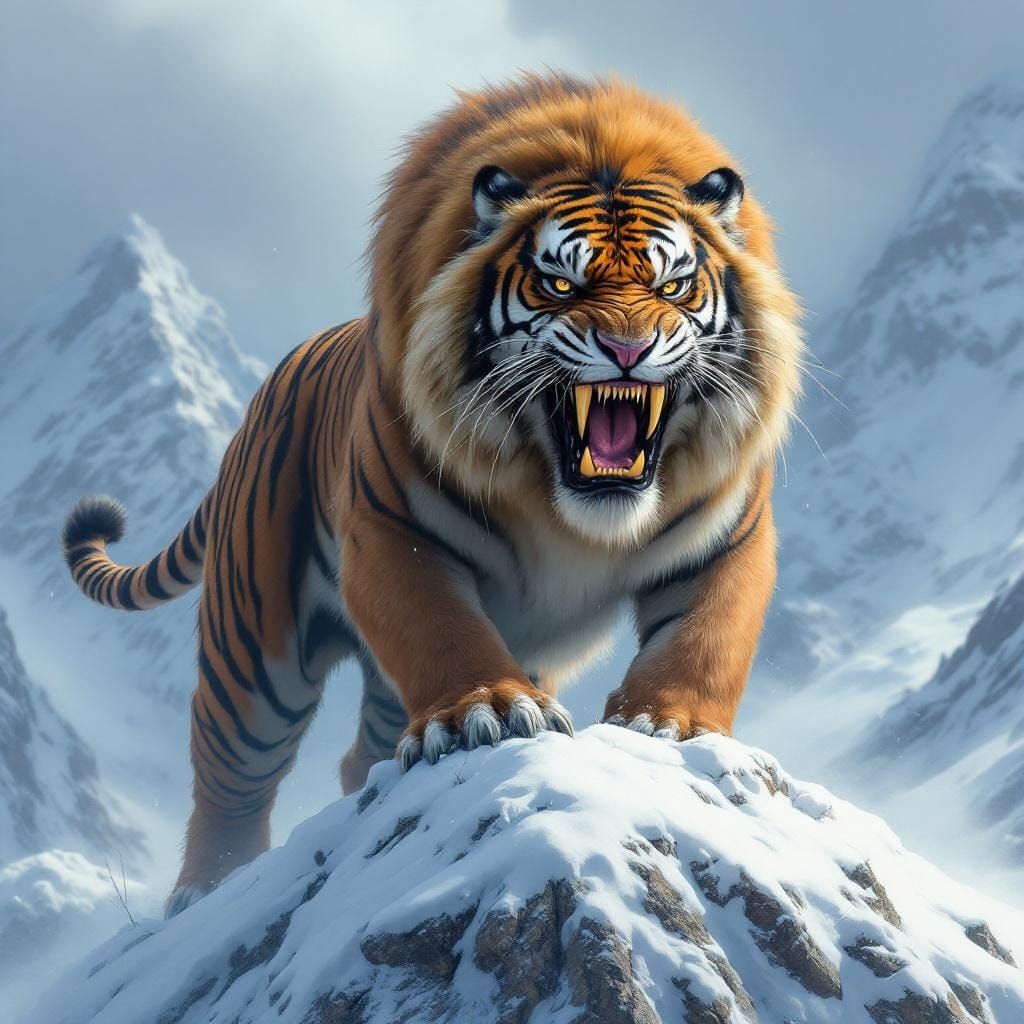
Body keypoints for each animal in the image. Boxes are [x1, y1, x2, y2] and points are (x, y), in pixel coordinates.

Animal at [62, 73, 801, 916]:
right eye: (559, 283)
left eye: (672, 285)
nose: (627, 347)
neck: (570, 510)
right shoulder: (395, 532)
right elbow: (440, 632)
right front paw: (490, 712)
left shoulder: (728, 540)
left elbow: (705, 640)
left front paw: (670, 726)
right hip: (255, 652)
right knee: (231, 778)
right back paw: (207, 891)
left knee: (359, 754)